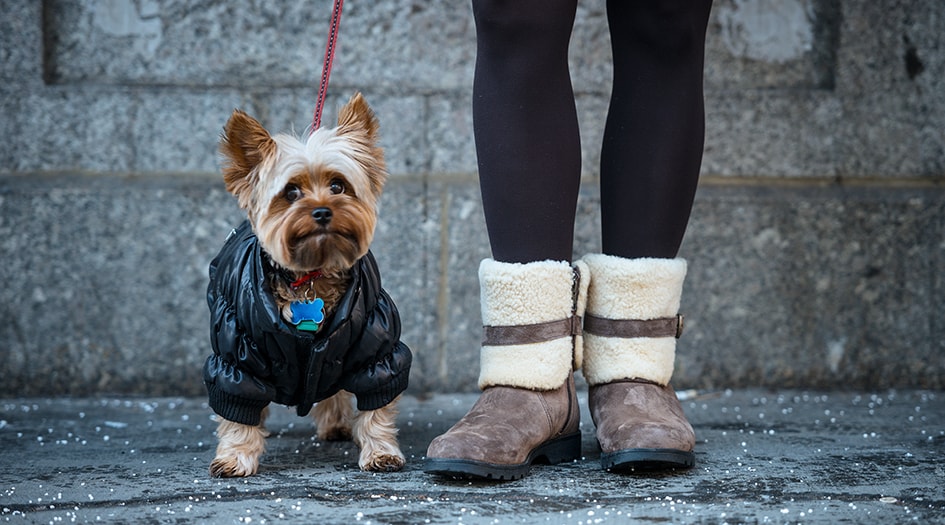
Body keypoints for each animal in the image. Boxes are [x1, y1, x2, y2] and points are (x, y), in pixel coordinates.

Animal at [206, 92, 410, 476]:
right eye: (291, 192)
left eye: (338, 186)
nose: (322, 211)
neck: (311, 276)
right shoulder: (236, 357)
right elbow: (238, 404)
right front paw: (235, 455)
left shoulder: (376, 351)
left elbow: (376, 405)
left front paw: (380, 451)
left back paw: (336, 424)